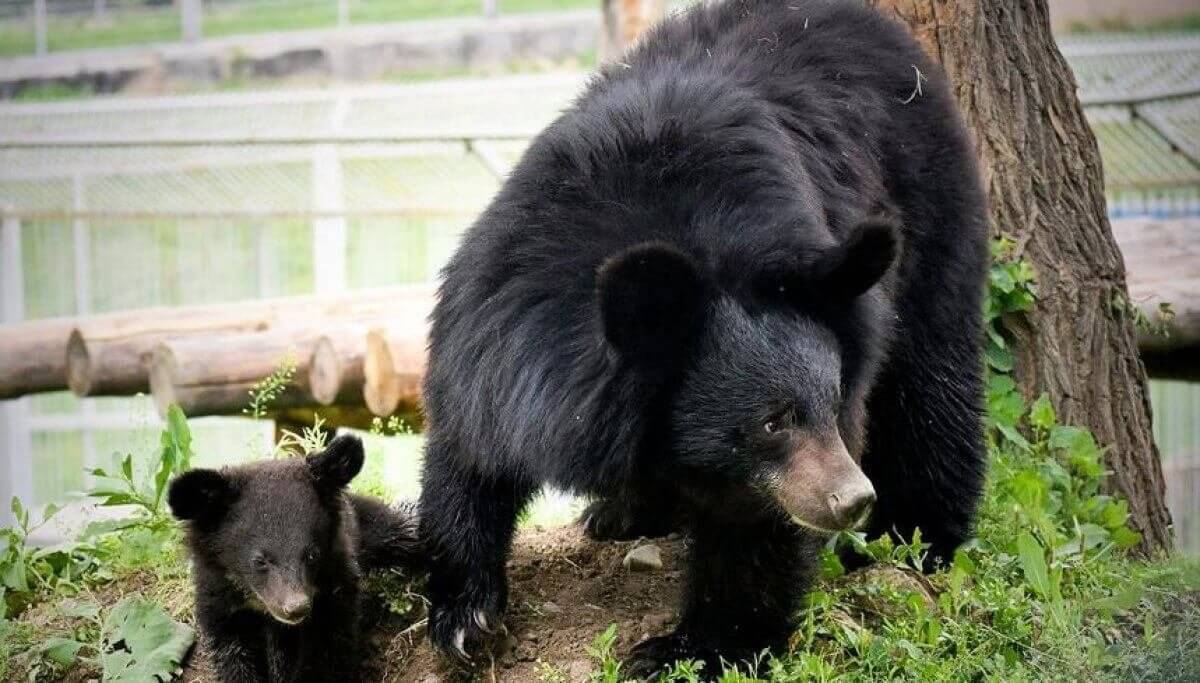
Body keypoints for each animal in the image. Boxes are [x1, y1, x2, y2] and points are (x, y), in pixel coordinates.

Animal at [169, 434, 422, 676]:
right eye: (260, 560)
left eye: (312, 555)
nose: (296, 608)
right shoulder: (221, 603)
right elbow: (231, 655)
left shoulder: (335, 592)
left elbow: (331, 650)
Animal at [420, 0, 984, 672]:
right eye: (773, 421)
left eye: (829, 403)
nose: (850, 500)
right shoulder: (492, 320)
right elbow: (469, 445)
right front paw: (464, 616)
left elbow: (753, 528)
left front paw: (687, 649)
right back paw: (623, 513)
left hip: (927, 210)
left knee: (930, 374)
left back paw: (918, 536)